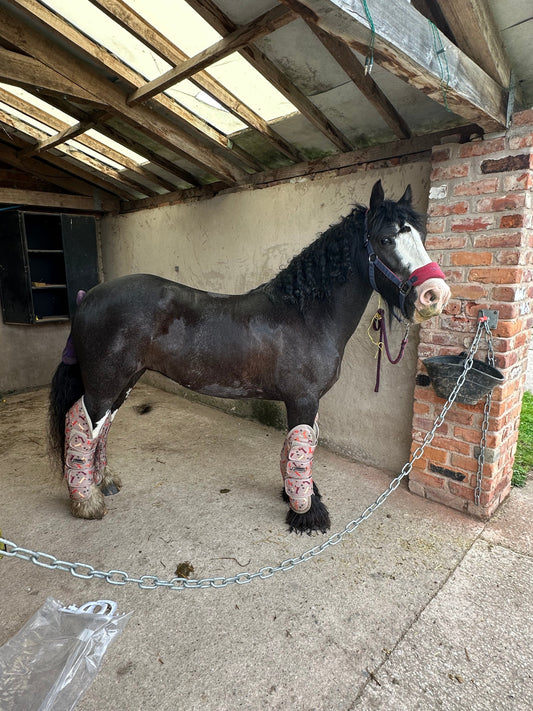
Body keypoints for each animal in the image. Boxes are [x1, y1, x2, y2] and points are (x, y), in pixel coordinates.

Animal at [48, 180, 450, 534]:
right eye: (386, 239)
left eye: (419, 236)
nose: (435, 295)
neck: (305, 314)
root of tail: (89, 297)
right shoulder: (303, 399)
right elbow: (303, 449)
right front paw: (307, 513)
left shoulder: (304, 401)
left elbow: (298, 446)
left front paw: (296, 495)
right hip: (104, 382)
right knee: (80, 424)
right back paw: (87, 501)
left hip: (124, 381)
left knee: (101, 429)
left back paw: (104, 482)